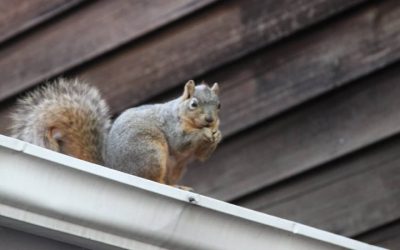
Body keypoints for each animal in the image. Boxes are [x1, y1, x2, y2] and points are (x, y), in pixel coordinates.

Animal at [10, 78, 222, 188]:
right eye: (194, 104)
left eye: (218, 105)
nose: (210, 120)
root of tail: (115, 168)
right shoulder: (171, 125)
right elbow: (180, 142)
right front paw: (204, 134)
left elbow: (201, 155)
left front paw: (217, 135)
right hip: (150, 153)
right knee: (152, 179)